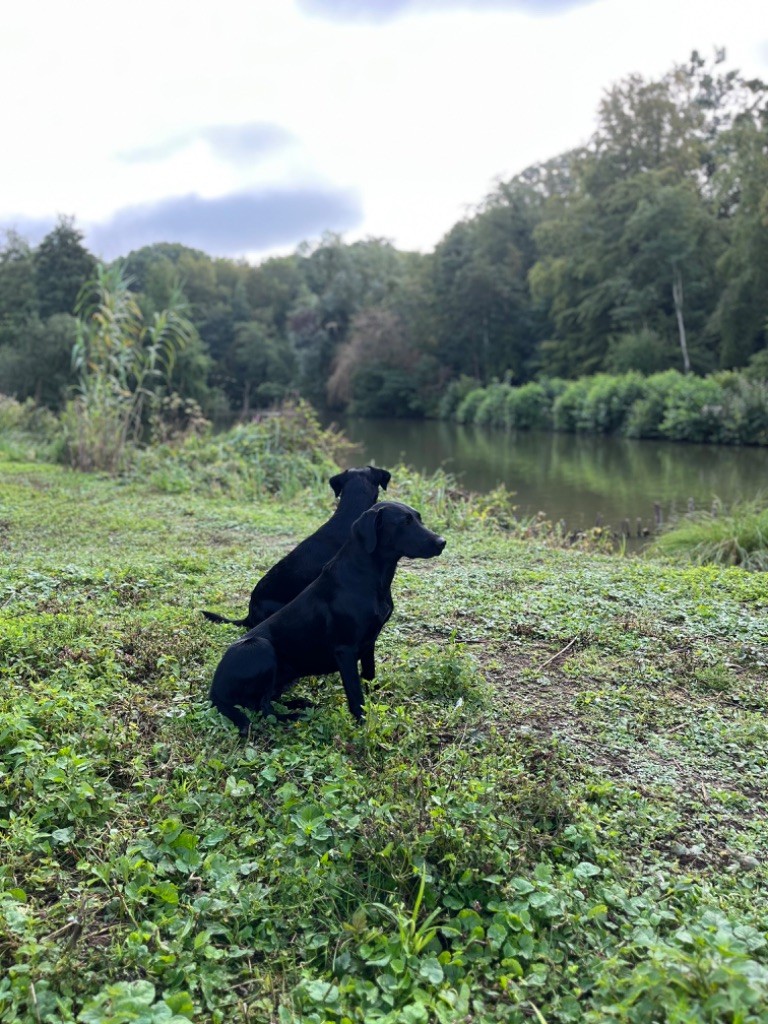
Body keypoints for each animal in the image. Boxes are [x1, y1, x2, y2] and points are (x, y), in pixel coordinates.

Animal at [211, 501, 450, 729]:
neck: (369, 577)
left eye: (418, 518)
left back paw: (299, 704)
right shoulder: (345, 650)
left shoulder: (369, 641)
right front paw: (363, 724)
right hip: (261, 647)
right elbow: (355, 694)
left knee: (266, 701)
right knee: (264, 708)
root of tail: (214, 689)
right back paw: (295, 715)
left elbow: (369, 675)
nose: (442, 542)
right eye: (405, 522)